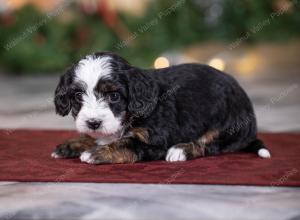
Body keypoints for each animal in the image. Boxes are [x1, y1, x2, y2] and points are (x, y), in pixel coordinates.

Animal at [52, 51, 272, 164]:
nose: (93, 123)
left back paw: (181, 150)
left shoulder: (155, 140)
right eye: (78, 96)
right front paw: (72, 144)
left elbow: (127, 143)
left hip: (227, 125)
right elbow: (96, 137)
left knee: (209, 144)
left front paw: (97, 152)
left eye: (113, 96)